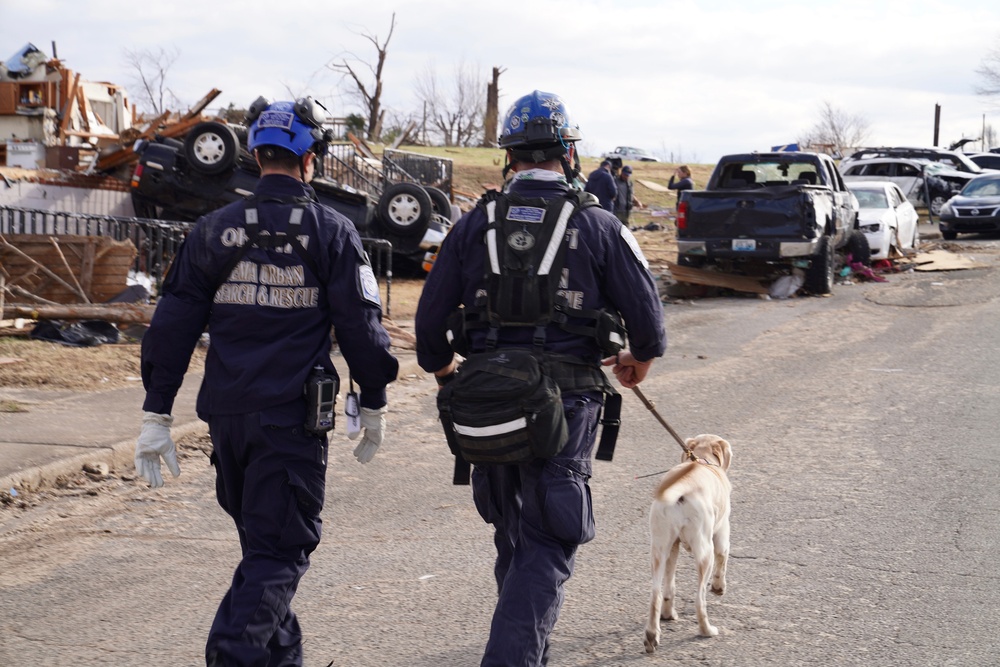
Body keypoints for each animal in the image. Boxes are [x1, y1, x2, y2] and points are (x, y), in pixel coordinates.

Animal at [644, 434, 732, 648]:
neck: (702, 459)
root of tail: (682, 488)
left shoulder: (673, 547)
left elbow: (669, 586)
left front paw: (668, 614)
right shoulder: (722, 533)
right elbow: (723, 560)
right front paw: (719, 587)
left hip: (659, 549)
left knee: (656, 593)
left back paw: (653, 633)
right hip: (705, 553)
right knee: (700, 599)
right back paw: (707, 630)